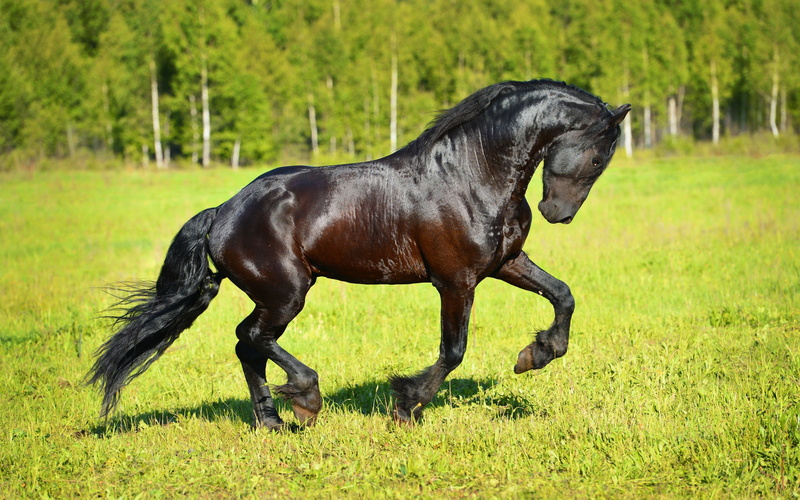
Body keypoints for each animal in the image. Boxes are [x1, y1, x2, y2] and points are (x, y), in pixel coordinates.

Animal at [88, 79, 630, 429]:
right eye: (598, 155)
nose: (557, 213)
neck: (472, 174)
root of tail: (222, 211)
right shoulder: (455, 281)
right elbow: (453, 351)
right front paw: (406, 405)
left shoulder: (504, 263)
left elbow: (563, 295)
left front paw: (535, 355)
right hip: (286, 293)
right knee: (251, 338)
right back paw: (305, 398)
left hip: (279, 295)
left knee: (249, 345)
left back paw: (272, 422)